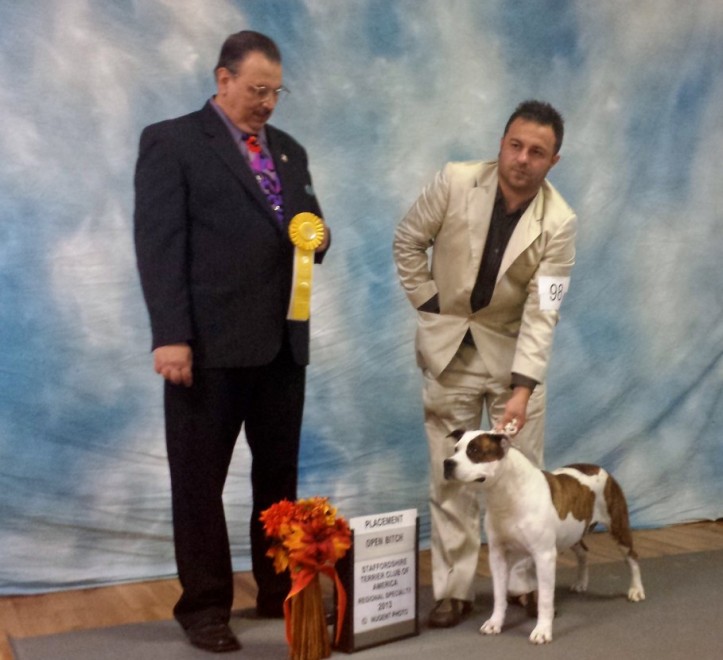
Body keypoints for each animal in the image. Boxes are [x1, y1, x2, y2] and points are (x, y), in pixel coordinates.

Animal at [443, 429, 645, 644]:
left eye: (474, 451)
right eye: (455, 449)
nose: (447, 463)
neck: (505, 494)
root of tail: (598, 468)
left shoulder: (544, 556)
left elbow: (545, 599)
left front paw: (542, 631)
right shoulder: (497, 555)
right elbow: (499, 594)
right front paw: (495, 623)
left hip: (617, 525)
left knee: (632, 557)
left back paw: (636, 590)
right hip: (574, 532)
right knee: (583, 552)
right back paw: (581, 582)